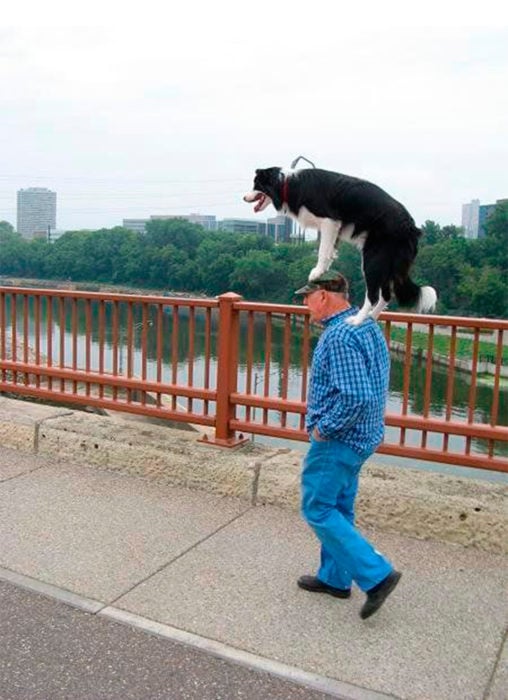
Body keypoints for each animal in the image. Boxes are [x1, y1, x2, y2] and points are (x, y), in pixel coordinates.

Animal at [243, 167, 436, 326]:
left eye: (256, 185)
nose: (244, 197)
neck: (286, 184)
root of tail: (411, 227)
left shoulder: (329, 221)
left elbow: (322, 251)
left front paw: (316, 272)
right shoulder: (334, 228)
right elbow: (329, 251)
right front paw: (324, 270)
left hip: (372, 259)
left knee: (373, 295)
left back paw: (357, 320)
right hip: (386, 263)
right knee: (386, 295)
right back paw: (371, 318)